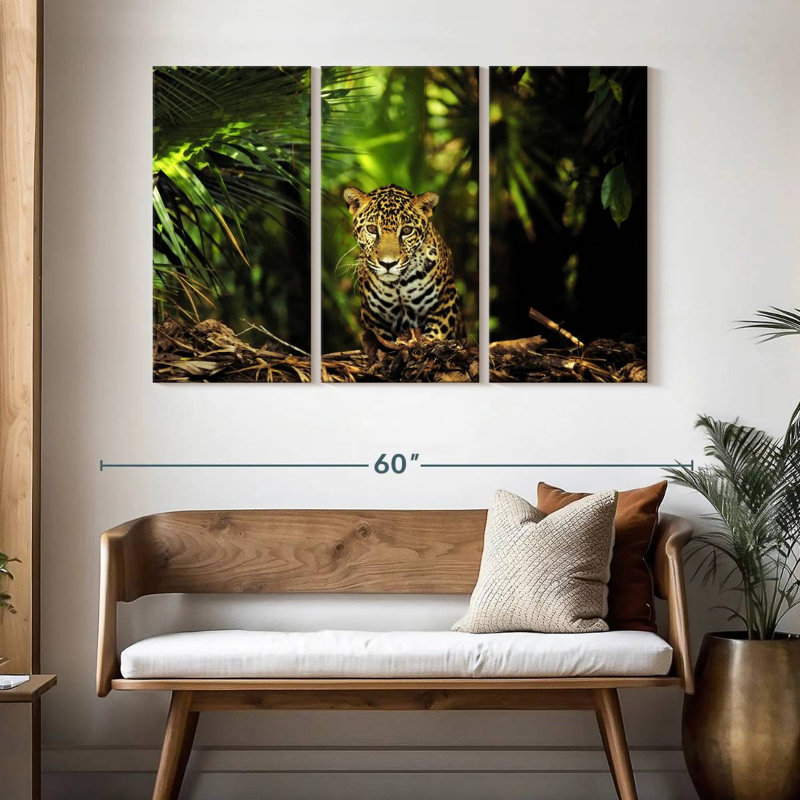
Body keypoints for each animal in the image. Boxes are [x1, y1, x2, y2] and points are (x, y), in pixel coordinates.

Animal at [342, 185, 465, 342]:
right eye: (371, 229)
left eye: (407, 230)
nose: (388, 264)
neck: (398, 285)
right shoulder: (372, 316)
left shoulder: (446, 302)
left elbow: (434, 335)